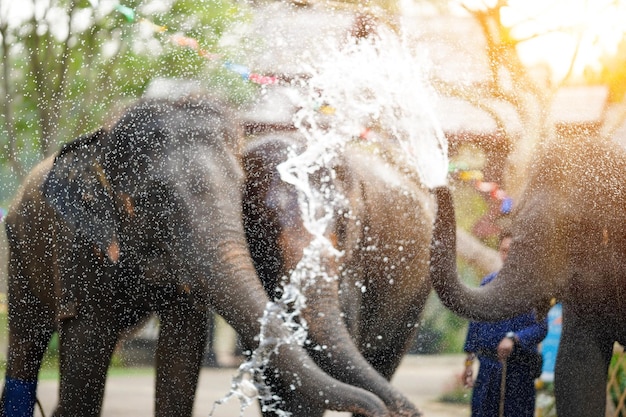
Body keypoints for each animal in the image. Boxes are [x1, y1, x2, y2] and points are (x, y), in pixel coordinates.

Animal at [0, 96, 390, 416]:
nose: (382, 408)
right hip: (17, 251)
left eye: (240, 189)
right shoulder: (78, 248)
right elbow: (87, 346)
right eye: (154, 197)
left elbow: (182, 349)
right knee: (26, 343)